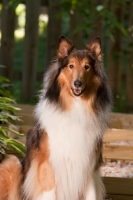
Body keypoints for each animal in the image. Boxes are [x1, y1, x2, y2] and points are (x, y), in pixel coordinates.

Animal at [0, 36, 111, 200]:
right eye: (71, 66)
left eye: (87, 67)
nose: (77, 83)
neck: (76, 108)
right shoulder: (47, 163)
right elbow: (50, 191)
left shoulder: (90, 166)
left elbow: (92, 195)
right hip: (13, 163)